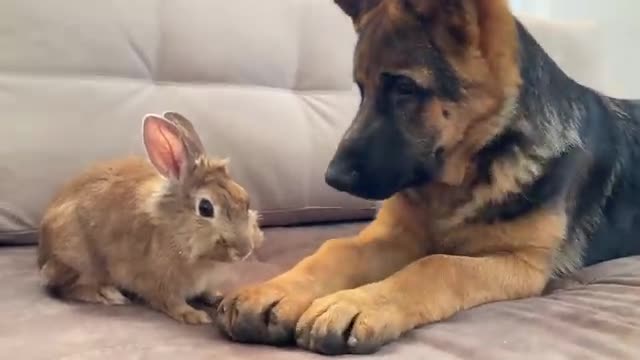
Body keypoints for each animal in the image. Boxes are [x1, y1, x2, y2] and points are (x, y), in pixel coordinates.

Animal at [37, 110, 264, 324]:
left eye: (245, 199)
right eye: (205, 208)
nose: (245, 250)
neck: (176, 230)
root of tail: (43, 254)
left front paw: (216, 297)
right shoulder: (159, 281)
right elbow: (170, 301)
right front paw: (193, 315)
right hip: (77, 259)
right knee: (61, 287)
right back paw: (108, 294)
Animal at [216, 0, 640, 354]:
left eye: (405, 87)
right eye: (361, 88)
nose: (332, 179)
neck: (467, 176)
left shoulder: (522, 263)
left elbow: (437, 264)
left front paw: (355, 304)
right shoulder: (393, 235)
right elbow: (338, 249)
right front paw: (276, 291)